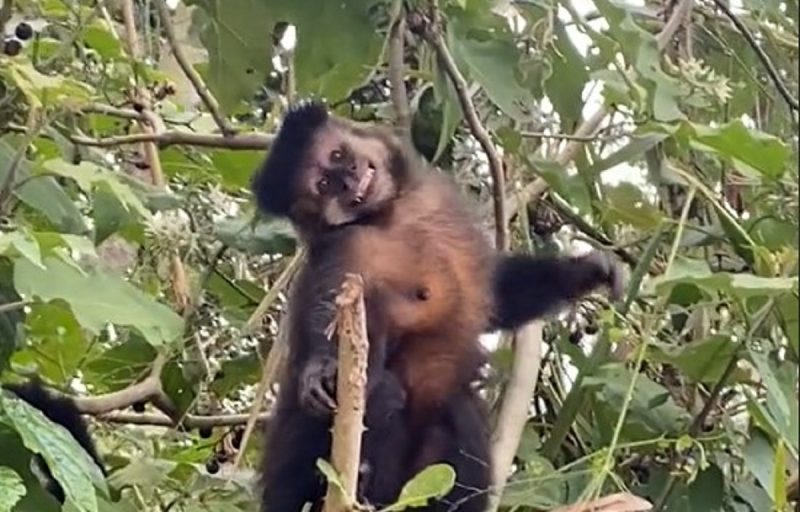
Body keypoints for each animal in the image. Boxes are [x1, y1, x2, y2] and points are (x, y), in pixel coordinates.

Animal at [251, 101, 622, 511]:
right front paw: (322, 368)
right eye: (323, 186)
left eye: (336, 155)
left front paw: (586, 272)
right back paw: (355, 481)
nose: (348, 178)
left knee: (454, 408)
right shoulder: (346, 249)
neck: (390, 214)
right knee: (384, 394)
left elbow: (496, 295)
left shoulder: (442, 206)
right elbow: (334, 319)